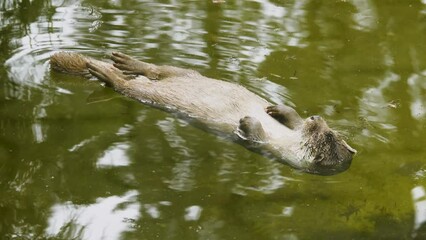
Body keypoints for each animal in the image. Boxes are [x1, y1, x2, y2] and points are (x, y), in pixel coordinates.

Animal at [50, 51, 356, 174]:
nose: (316, 117)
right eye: (325, 126)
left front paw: (248, 121)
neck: (289, 143)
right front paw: (277, 108)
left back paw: (106, 72)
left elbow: (253, 137)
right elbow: (292, 119)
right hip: (183, 72)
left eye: (328, 136)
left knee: (124, 85)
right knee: (158, 69)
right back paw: (127, 63)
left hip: (144, 92)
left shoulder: (274, 151)